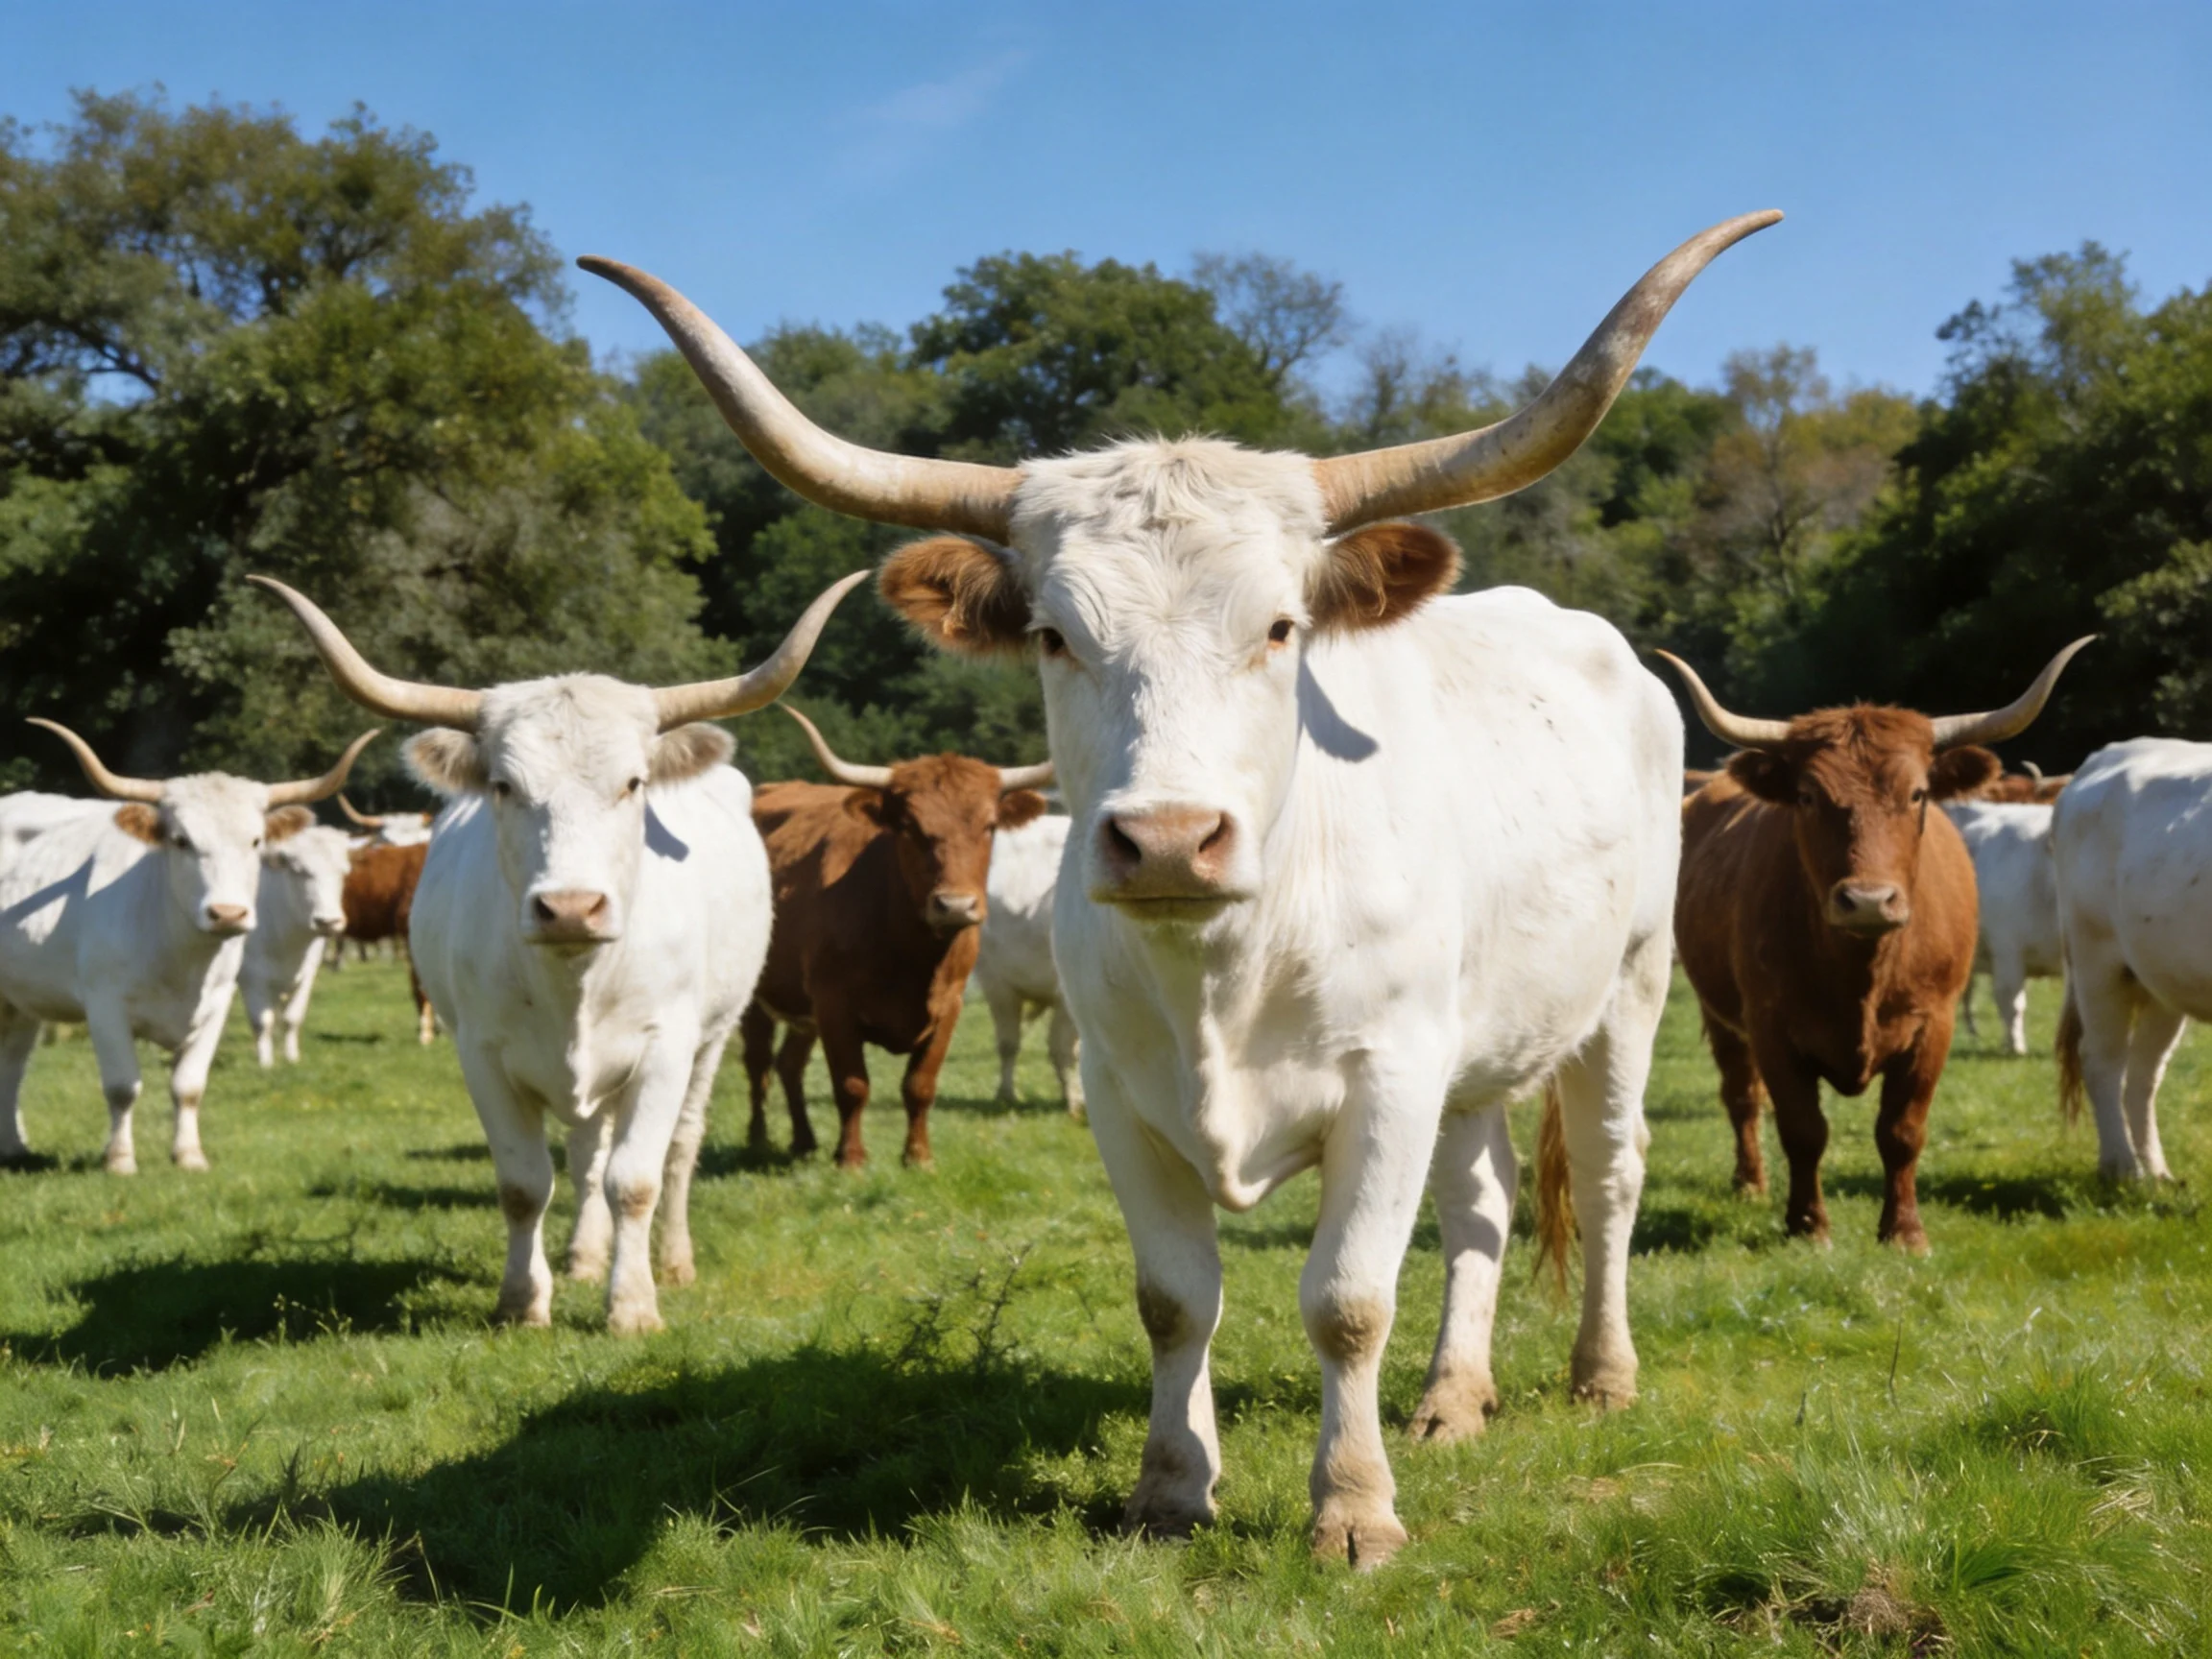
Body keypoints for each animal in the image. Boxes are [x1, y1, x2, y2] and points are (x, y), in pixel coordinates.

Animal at [241, 823, 355, 1066]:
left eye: (343, 871)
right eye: (299, 870)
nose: (328, 921)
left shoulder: (306, 974)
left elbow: (292, 1017)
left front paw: (292, 1057)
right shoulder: (251, 977)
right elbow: (262, 1021)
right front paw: (265, 1063)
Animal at [739, 708, 1051, 1167]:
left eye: (990, 826)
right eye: (908, 826)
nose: (955, 906)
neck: (913, 955)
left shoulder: (949, 1005)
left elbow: (920, 1085)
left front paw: (918, 1158)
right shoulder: (834, 1005)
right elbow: (852, 1085)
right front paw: (851, 1159)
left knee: (788, 1063)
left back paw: (804, 1141)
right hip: (754, 995)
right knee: (758, 1062)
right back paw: (759, 1138)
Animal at [2053, 738, 2212, 1181]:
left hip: (2161, 977)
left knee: (2144, 1073)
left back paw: (2156, 1171)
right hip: (2095, 960)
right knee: (2101, 1061)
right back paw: (2121, 1166)